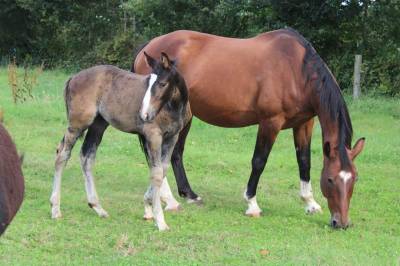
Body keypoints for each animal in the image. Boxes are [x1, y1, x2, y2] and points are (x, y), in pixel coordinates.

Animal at [50, 53, 191, 230]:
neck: (173, 107)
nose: (144, 115)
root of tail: (73, 78)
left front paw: (148, 207)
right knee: (62, 155)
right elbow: (157, 173)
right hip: (78, 123)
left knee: (86, 156)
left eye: (163, 83)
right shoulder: (153, 135)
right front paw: (160, 220)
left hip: (98, 124)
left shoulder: (172, 137)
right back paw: (55, 209)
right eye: (148, 82)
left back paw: (97, 207)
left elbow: (162, 169)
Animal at [134, 28, 366, 229]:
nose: (341, 223)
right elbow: (259, 161)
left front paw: (310, 203)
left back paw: (187, 195)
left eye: (354, 178)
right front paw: (252, 204)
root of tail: (148, 47)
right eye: (330, 180)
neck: (296, 70)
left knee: (174, 154)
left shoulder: (304, 123)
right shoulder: (270, 122)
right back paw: (169, 200)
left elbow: (304, 162)